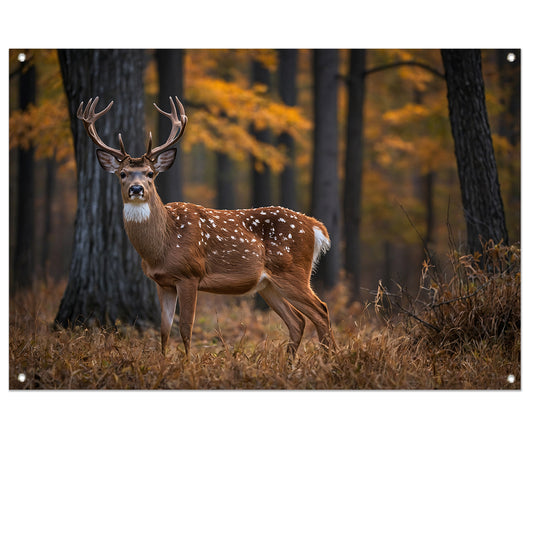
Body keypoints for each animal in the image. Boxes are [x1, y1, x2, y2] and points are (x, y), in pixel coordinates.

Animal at [77, 97, 334, 360]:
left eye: (150, 173)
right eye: (122, 174)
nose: (136, 189)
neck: (162, 245)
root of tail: (316, 227)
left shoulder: (189, 274)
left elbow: (186, 327)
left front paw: (187, 364)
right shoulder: (162, 282)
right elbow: (164, 329)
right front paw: (162, 363)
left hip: (293, 271)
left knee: (321, 311)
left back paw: (329, 360)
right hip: (268, 284)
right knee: (298, 320)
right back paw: (291, 362)